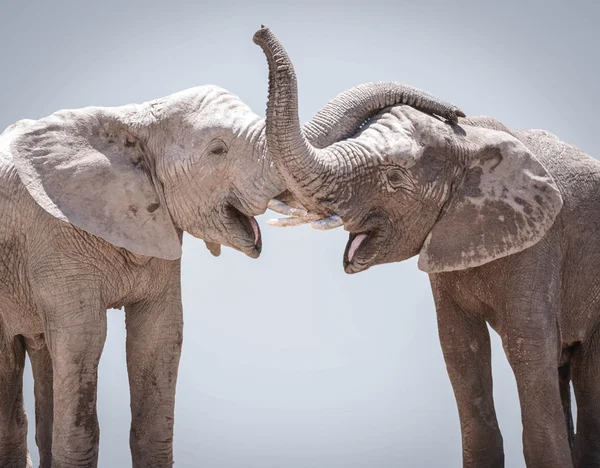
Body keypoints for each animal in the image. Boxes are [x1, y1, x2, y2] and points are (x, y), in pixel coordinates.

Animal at [0, 29, 464, 464]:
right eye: (218, 149)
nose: (455, 114)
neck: (130, 122)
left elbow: (159, 338)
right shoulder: (54, 239)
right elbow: (82, 341)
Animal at [256, 26, 600, 468]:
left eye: (395, 178)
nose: (260, 31)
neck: (471, 143)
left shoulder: (541, 243)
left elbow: (528, 347)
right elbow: (459, 349)